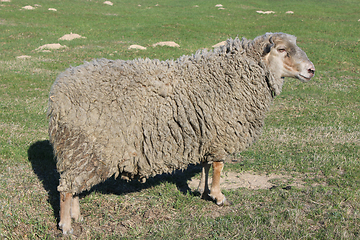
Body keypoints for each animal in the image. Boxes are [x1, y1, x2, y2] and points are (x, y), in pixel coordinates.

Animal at [47, 32, 316, 234]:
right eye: (281, 49)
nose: (311, 70)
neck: (236, 75)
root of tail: (57, 92)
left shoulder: (207, 135)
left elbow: (206, 166)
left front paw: (203, 190)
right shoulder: (221, 134)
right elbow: (218, 167)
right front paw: (218, 196)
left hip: (79, 151)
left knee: (73, 185)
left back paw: (76, 215)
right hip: (84, 147)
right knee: (66, 189)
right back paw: (66, 225)